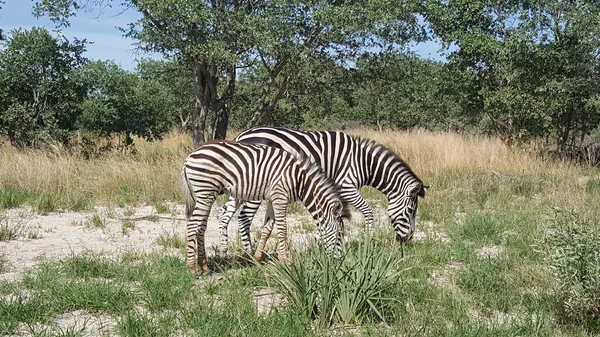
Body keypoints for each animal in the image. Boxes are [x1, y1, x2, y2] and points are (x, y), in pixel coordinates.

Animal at [180, 139, 350, 272]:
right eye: (339, 235)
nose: (340, 262)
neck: (299, 181)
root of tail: (189, 157)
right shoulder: (280, 198)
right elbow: (283, 229)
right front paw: (286, 261)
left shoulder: (273, 199)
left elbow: (268, 229)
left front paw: (257, 257)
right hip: (206, 192)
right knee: (193, 225)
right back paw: (192, 267)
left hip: (206, 195)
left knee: (201, 226)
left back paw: (204, 266)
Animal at [216, 126, 426, 255]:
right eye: (410, 211)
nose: (407, 240)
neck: (364, 163)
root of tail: (241, 136)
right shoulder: (346, 186)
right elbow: (368, 211)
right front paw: (368, 241)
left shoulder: (336, 191)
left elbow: (335, 216)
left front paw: (329, 242)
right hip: (255, 186)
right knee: (244, 217)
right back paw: (250, 254)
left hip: (240, 186)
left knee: (223, 213)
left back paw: (224, 249)